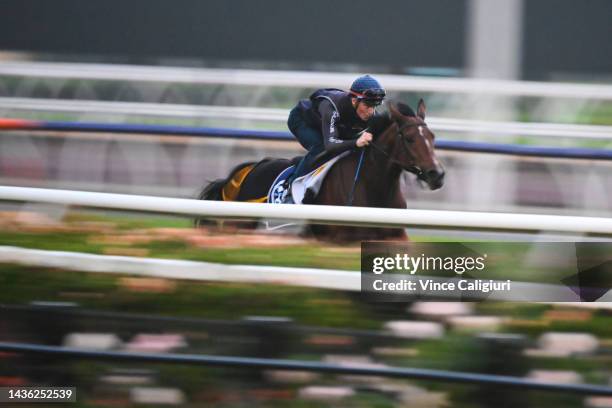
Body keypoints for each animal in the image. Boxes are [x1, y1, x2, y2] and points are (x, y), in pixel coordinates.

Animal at [196, 99, 444, 242]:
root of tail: (250, 169)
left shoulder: (396, 237)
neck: (373, 188)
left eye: (432, 137)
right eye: (410, 138)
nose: (437, 175)